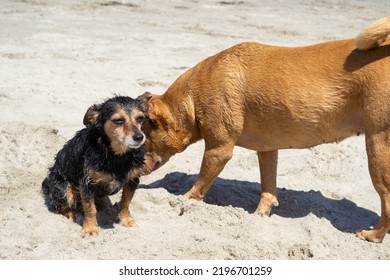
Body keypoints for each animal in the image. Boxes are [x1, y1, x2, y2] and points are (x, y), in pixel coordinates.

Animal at [42, 95, 153, 236]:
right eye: (119, 120)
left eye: (140, 118)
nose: (139, 137)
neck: (117, 155)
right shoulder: (87, 183)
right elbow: (89, 208)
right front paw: (90, 228)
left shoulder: (133, 179)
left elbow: (126, 201)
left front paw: (125, 219)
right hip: (63, 187)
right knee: (61, 206)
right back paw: (74, 214)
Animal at [142, 16, 390, 242]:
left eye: (142, 139)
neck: (192, 98)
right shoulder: (267, 150)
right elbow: (268, 189)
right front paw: (260, 215)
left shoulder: (219, 150)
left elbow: (198, 186)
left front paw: (182, 201)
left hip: (377, 149)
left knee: (386, 202)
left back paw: (373, 235)